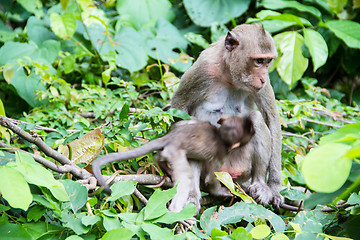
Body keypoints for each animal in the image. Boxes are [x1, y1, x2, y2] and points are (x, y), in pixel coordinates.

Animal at [93, 114, 256, 214]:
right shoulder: (221, 154)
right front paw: (221, 191)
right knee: (186, 177)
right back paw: (175, 211)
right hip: (174, 152)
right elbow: (211, 179)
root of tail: (170, 138)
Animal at [170, 25, 282, 207]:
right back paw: (194, 194)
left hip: (242, 166)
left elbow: (271, 118)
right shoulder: (202, 70)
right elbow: (180, 109)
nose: (263, 78)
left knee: (256, 118)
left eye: (268, 61)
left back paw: (260, 184)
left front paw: (275, 188)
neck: (229, 74)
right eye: (258, 61)